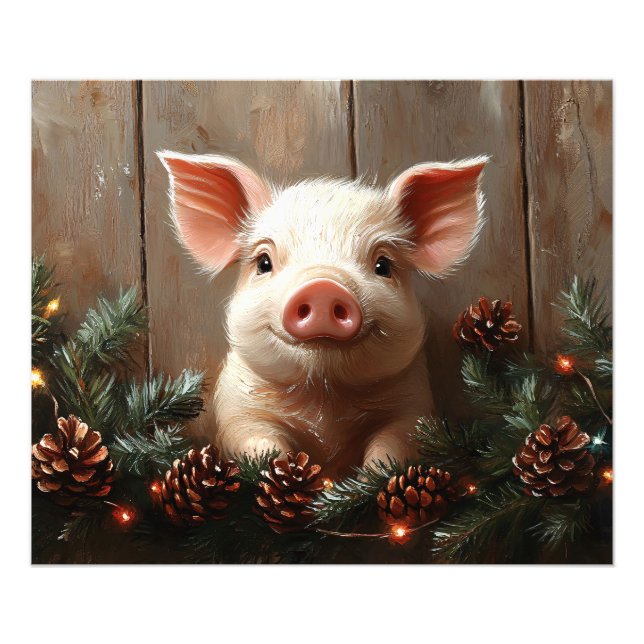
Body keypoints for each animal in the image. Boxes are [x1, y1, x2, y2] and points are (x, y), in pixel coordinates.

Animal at [158, 151, 487, 477]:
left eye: (383, 265)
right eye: (264, 262)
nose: (323, 287)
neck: (321, 398)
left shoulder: (412, 404)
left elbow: (392, 445)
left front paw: (367, 478)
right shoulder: (237, 408)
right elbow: (258, 441)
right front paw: (281, 470)